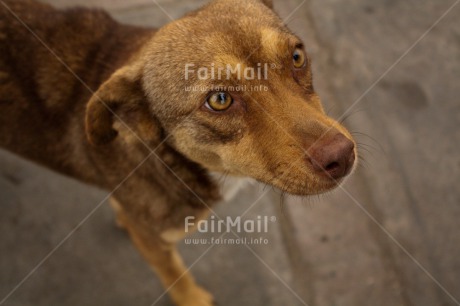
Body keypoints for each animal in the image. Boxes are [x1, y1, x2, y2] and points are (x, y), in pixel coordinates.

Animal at [0, 1, 358, 304]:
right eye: (219, 100)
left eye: (297, 57)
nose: (341, 156)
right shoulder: (154, 242)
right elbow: (174, 274)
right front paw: (193, 298)